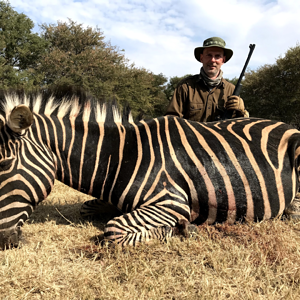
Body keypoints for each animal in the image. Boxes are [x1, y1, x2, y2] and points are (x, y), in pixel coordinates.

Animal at [0, 93, 300, 248]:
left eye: (3, 165)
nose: (3, 242)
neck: (121, 158)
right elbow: (88, 208)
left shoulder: (171, 201)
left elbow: (113, 230)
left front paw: (184, 229)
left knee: (293, 212)